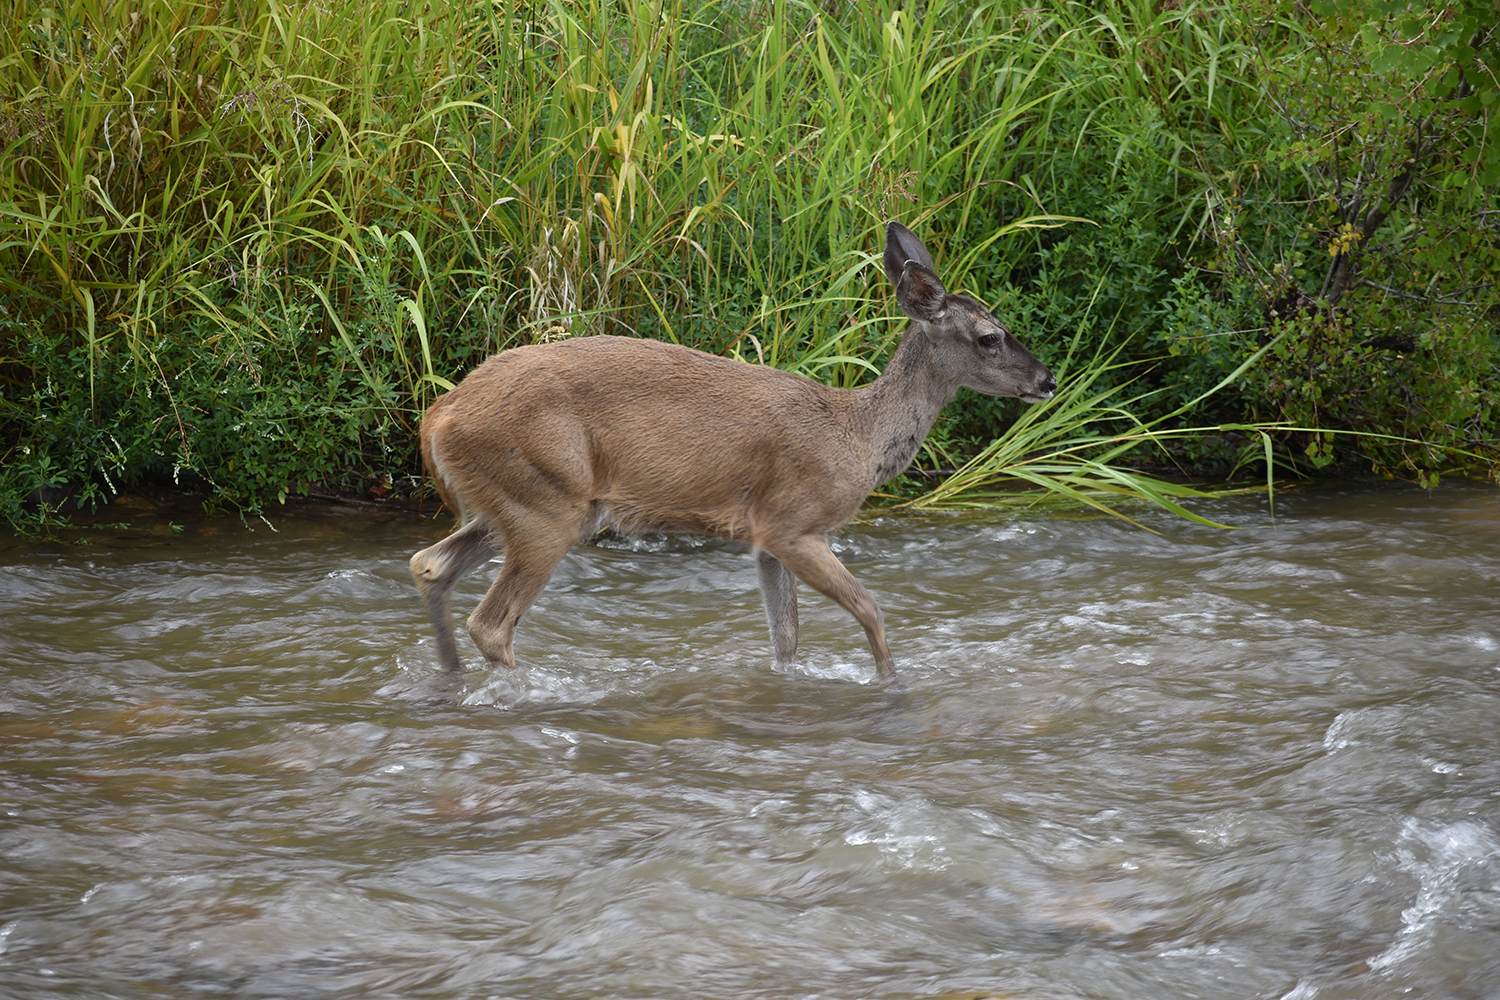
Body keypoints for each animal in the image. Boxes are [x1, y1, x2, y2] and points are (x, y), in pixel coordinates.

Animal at [411, 223, 1056, 683]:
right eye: (989, 337)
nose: (1047, 380)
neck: (857, 436)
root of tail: (437, 417)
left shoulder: (766, 538)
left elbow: (786, 639)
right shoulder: (792, 520)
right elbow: (869, 608)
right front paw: (892, 683)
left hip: (512, 505)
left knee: (428, 564)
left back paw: (451, 679)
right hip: (546, 500)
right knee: (490, 622)